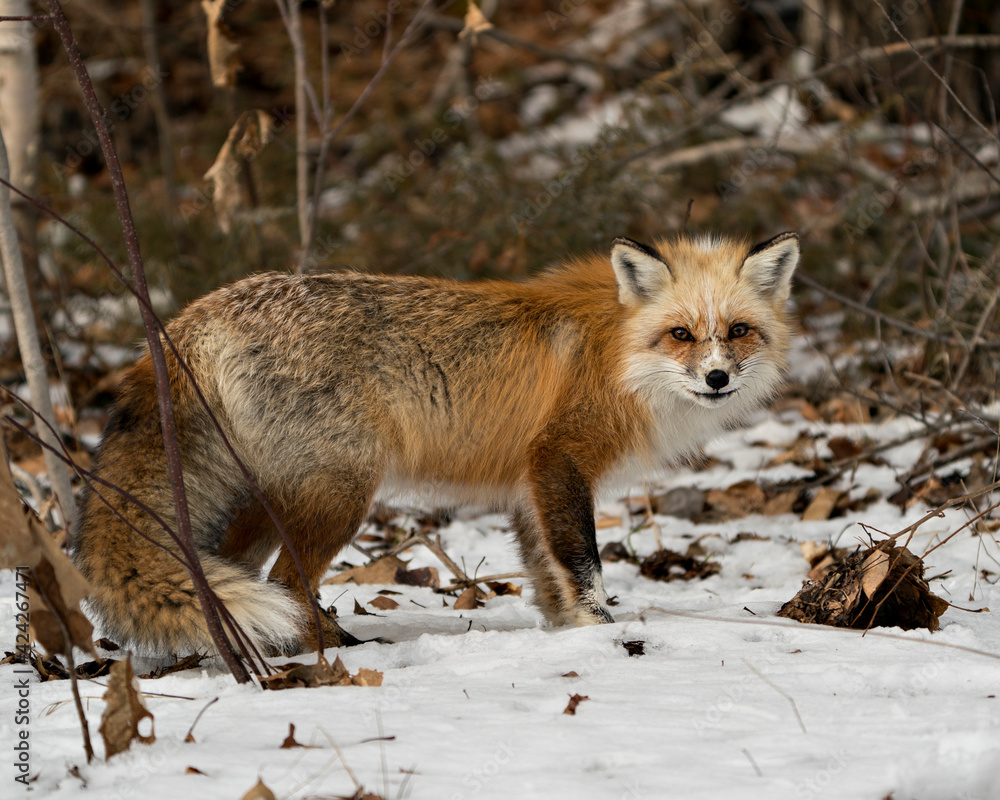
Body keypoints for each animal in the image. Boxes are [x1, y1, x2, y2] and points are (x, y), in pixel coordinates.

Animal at [72, 231, 796, 656]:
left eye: (737, 331)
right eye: (680, 334)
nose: (717, 378)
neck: (615, 352)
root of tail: (195, 314)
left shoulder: (527, 486)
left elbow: (546, 576)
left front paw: (564, 637)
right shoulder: (559, 459)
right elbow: (584, 566)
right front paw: (602, 635)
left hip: (271, 494)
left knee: (232, 574)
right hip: (340, 497)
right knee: (284, 583)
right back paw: (324, 657)